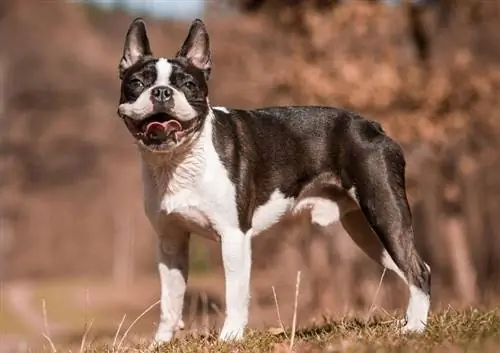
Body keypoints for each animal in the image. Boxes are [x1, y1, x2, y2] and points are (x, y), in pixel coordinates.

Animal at [116, 17, 430, 344]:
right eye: (137, 83)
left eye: (188, 85)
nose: (162, 92)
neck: (179, 160)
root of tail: (373, 127)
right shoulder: (171, 241)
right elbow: (170, 299)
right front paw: (160, 342)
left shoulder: (234, 236)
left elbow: (235, 293)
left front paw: (230, 337)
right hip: (366, 230)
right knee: (407, 267)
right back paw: (409, 321)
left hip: (384, 210)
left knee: (418, 270)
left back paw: (415, 328)